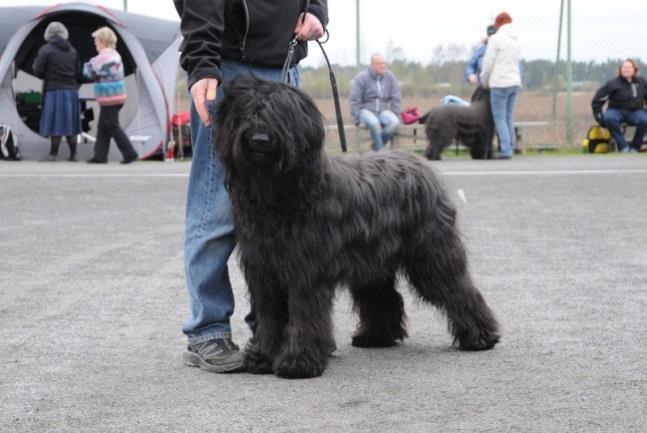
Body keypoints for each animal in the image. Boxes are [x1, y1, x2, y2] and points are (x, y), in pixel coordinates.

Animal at [216, 76, 502, 376]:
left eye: (280, 115)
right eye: (248, 114)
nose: (259, 139)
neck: (281, 195)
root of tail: (419, 163)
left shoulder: (305, 271)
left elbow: (304, 313)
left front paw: (299, 361)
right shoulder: (263, 270)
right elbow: (269, 316)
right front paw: (262, 357)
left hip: (431, 254)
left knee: (458, 289)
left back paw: (481, 337)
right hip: (373, 263)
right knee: (384, 297)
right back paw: (376, 337)